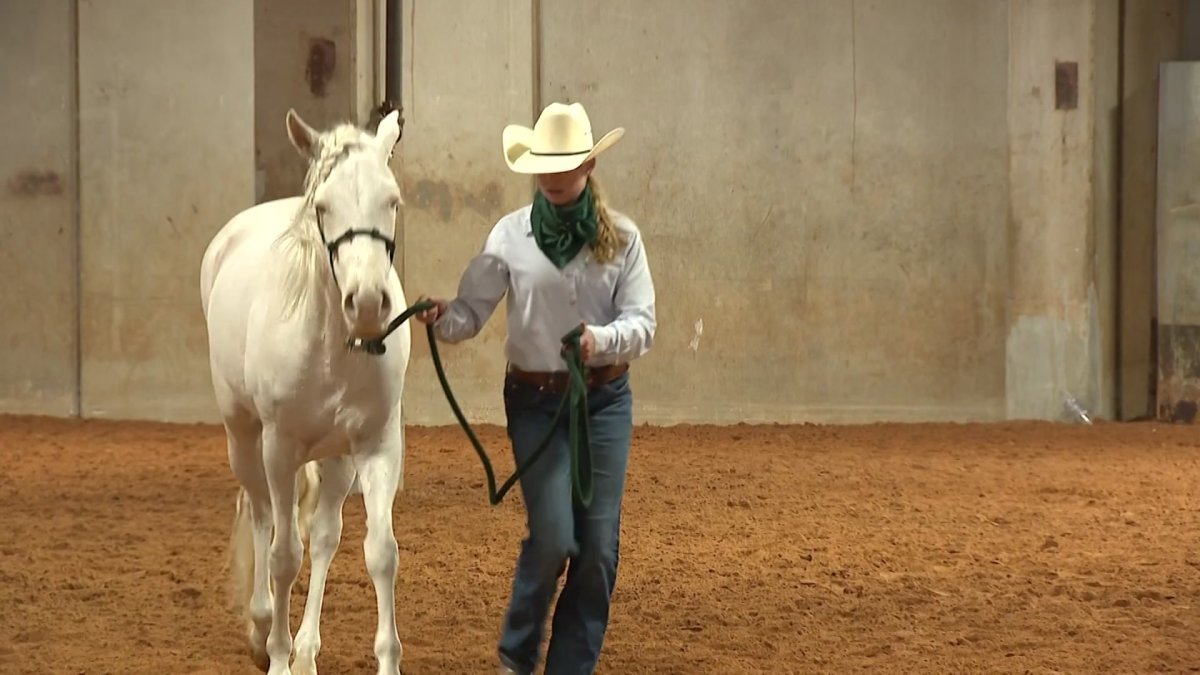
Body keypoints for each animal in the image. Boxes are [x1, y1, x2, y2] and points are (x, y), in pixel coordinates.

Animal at [199, 107, 410, 675]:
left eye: (392, 200)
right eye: (323, 206)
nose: (367, 302)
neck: (333, 344)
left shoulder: (377, 446)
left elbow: (380, 551)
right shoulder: (280, 446)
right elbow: (281, 556)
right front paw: (274, 654)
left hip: (337, 458)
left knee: (323, 537)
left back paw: (307, 650)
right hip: (244, 438)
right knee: (262, 515)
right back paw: (263, 626)